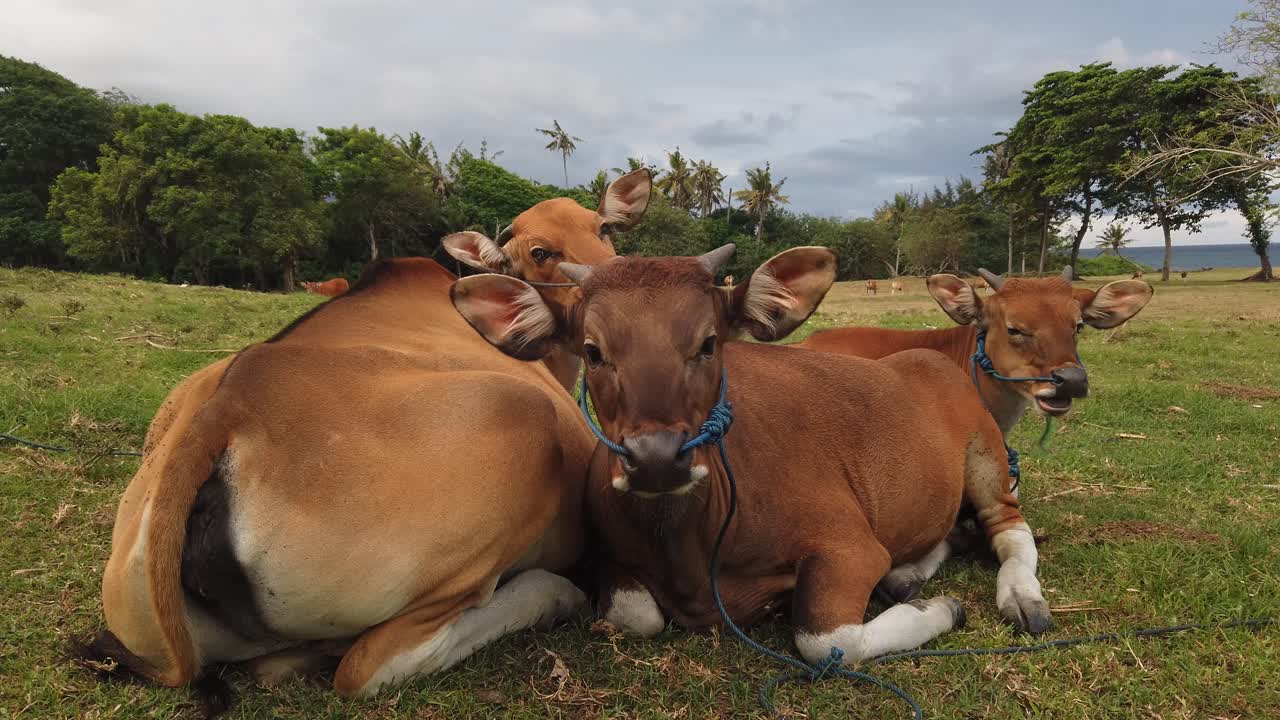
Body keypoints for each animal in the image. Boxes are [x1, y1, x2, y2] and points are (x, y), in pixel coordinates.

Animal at [451, 245, 1054, 668]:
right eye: (593, 351)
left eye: (709, 342)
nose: (657, 459)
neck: (691, 546)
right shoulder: (611, 561)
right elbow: (634, 614)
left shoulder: (850, 548)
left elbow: (825, 642)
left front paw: (941, 609)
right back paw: (909, 575)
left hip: (988, 461)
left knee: (1010, 528)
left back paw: (1020, 597)